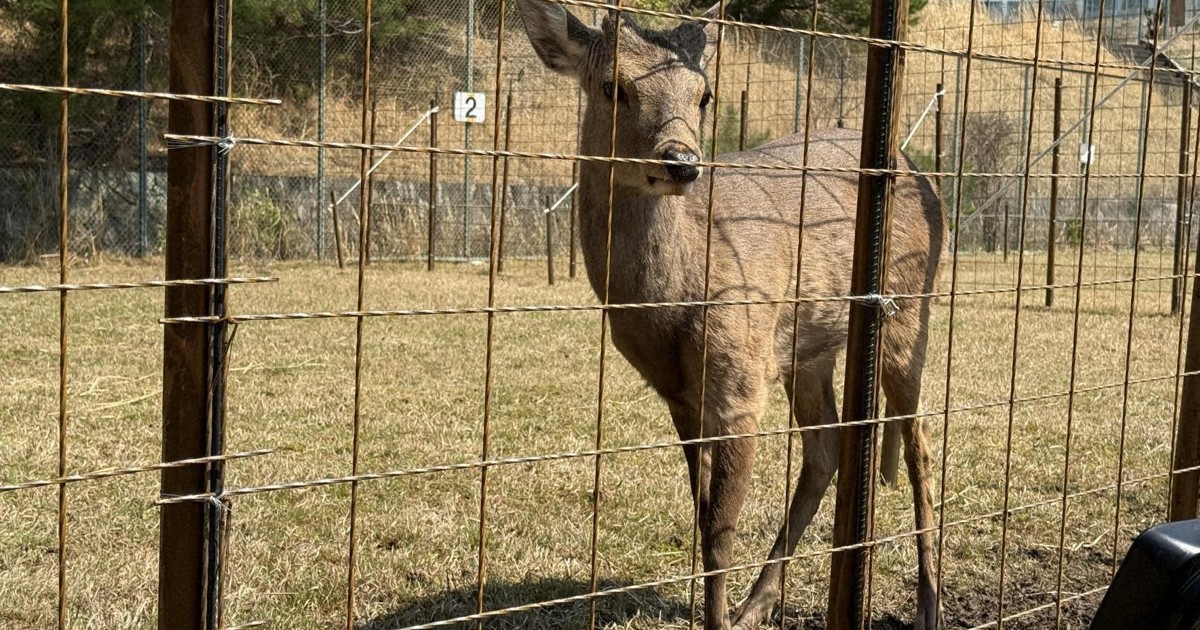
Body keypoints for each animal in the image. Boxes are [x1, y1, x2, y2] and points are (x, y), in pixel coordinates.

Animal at [515, 2, 945, 628]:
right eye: (613, 86)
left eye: (704, 94)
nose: (681, 162)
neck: (674, 303)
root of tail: (919, 171)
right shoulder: (678, 393)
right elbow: (702, 519)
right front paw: (724, 610)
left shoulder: (740, 379)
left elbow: (720, 530)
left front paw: (714, 618)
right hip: (806, 347)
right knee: (826, 446)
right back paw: (757, 603)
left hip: (911, 305)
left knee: (919, 443)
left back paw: (929, 603)